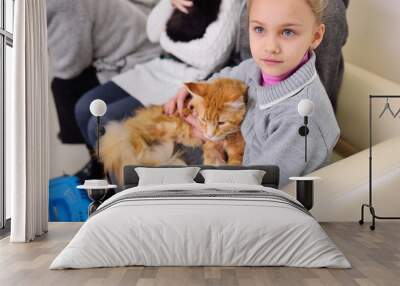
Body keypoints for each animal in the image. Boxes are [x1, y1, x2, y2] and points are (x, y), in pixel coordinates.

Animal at [99, 78, 247, 183]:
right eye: (203, 120)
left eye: (221, 123)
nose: (210, 134)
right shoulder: (210, 147)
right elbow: (215, 163)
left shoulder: (236, 147)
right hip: (162, 127)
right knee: (132, 132)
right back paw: (142, 153)